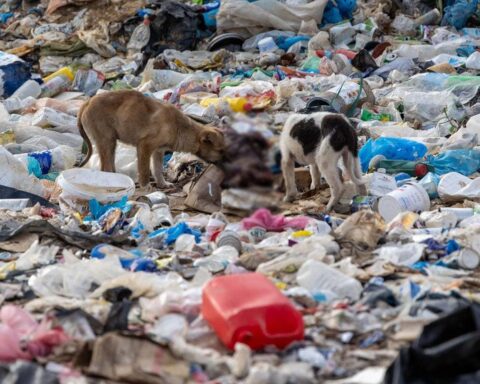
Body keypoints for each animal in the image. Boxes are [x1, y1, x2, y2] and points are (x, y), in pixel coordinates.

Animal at [78, 90, 226, 189]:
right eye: (220, 151)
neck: (181, 128)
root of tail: (87, 102)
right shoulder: (145, 146)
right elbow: (144, 170)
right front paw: (146, 187)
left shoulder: (158, 151)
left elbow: (157, 169)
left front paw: (162, 184)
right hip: (106, 140)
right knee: (105, 167)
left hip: (110, 143)